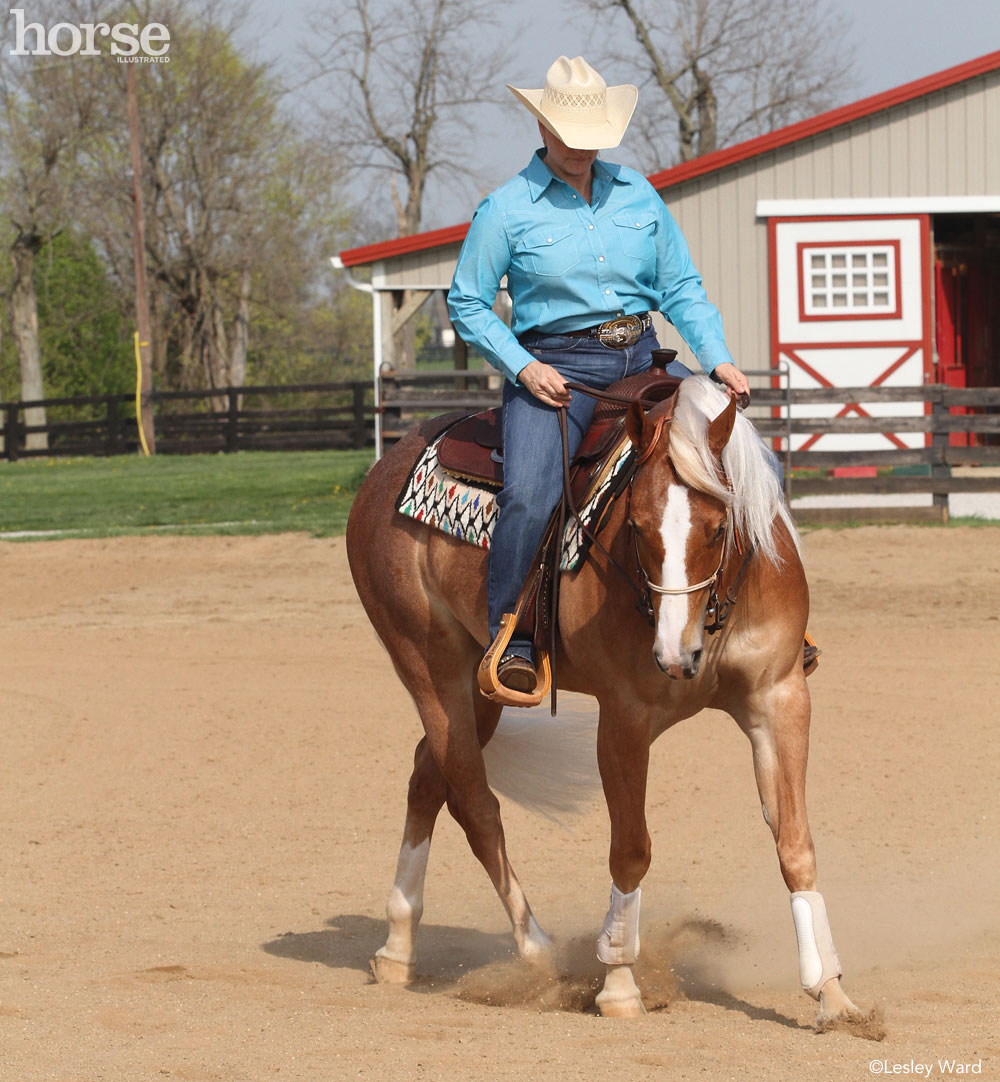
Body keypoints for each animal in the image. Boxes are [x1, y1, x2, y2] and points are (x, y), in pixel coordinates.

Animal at [346, 378, 861, 1021]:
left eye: (720, 527)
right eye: (635, 527)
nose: (676, 653)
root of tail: (383, 472)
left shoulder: (780, 700)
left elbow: (795, 843)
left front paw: (832, 993)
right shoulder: (623, 718)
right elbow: (631, 848)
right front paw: (617, 982)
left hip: (479, 686)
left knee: (427, 778)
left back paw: (397, 946)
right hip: (429, 668)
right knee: (476, 803)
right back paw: (539, 953)